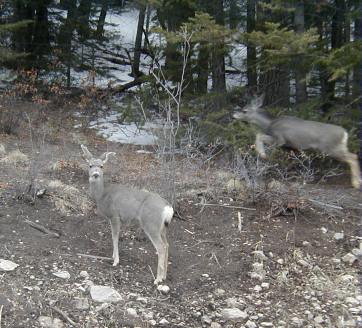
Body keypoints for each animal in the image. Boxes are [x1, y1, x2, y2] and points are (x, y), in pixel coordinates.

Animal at [81, 144, 174, 284]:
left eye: (102, 166)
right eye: (90, 165)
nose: (96, 174)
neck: (102, 195)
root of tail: (168, 208)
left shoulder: (115, 215)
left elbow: (114, 236)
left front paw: (115, 261)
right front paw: (113, 256)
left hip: (151, 224)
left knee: (161, 247)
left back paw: (157, 279)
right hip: (162, 227)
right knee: (167, 245)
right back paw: (164, 276)